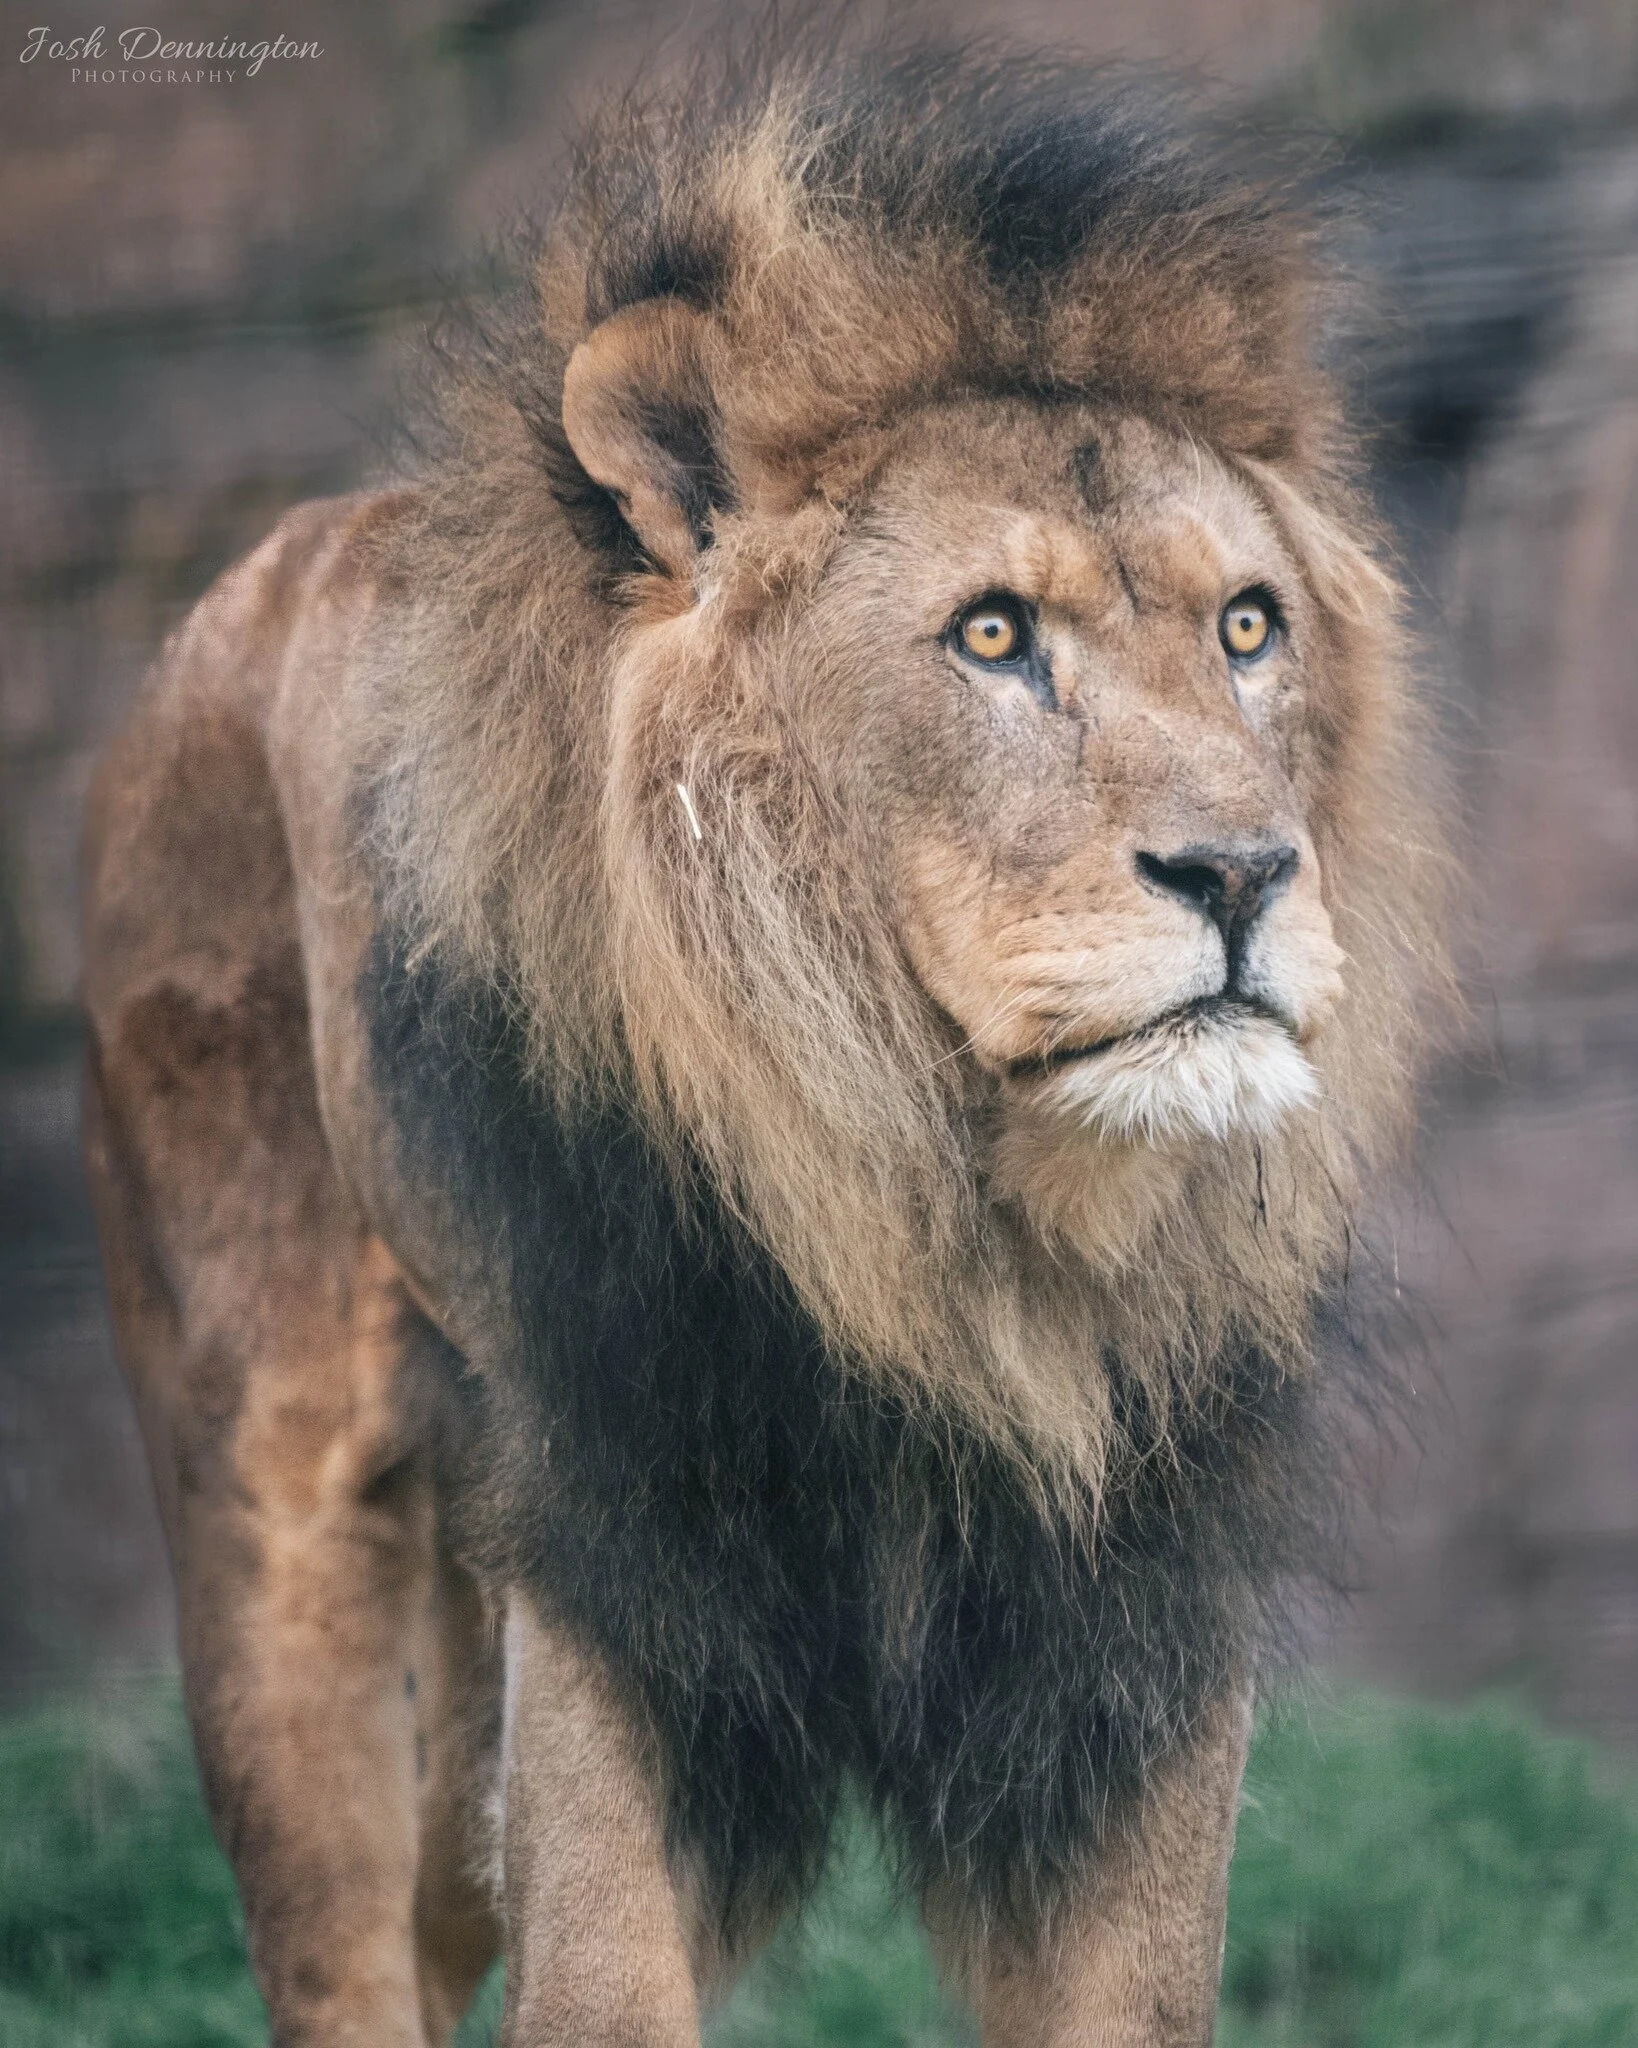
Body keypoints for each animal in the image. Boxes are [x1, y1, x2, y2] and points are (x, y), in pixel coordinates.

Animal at [81, 42, 1447, 2048]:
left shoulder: (1137, 1612)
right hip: (273, 1502)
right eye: (991, 635)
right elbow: (596, 1978)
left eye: (1247, 626)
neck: (936, 1211)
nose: (1243, 872)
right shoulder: (612, 1553)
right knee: (336, 1944)